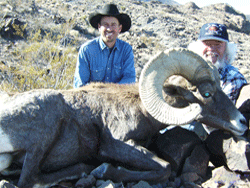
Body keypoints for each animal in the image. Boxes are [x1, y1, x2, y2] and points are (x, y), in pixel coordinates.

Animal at [0, 48, 247, 188]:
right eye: (206, 93)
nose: (242, 122)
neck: (141, 107)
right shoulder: (118, 145)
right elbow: (164, 167)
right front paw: (104, 170)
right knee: (29, 179)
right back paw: (87, 168)